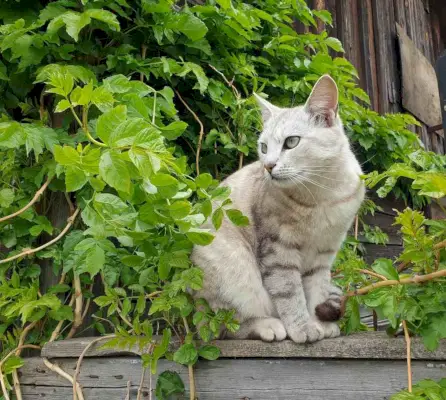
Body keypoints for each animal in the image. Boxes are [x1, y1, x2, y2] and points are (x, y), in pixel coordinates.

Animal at [190, 75, 364, 344]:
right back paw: (269, 326)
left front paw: (320, 324)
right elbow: (289, 293)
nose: (268, 165)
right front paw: (303, 328)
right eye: (263, 147)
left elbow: (317, 291)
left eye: (291, 142)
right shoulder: (278, 249)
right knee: (221, 327)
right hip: (234, 271)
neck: (322, 194)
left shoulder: (324, 254)